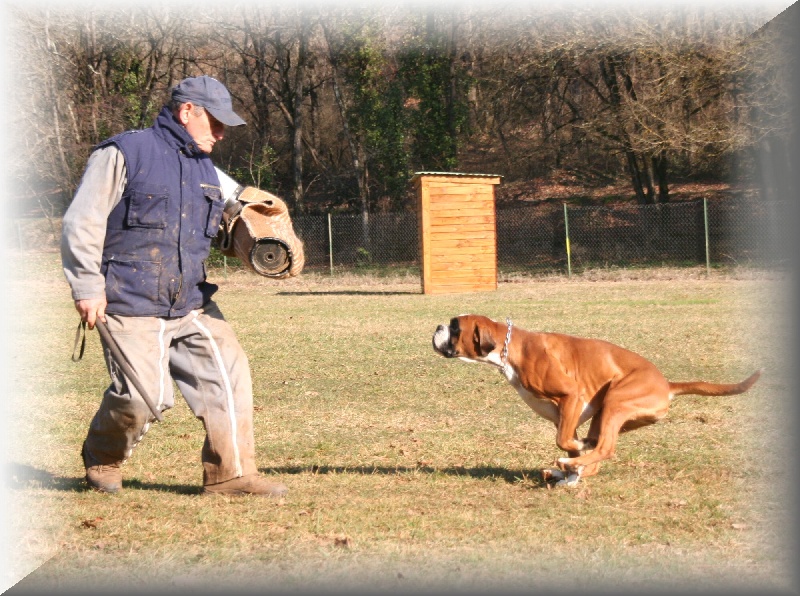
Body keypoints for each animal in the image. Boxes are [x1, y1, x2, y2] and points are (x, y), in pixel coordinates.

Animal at [434, 314, 760, 486]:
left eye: (455, 327)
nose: (437, 327)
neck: (512, 347)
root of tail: (666, 383)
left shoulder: (572, 396)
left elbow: (565, 441)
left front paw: (573, 457)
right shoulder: (564, 414)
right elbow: (568, 440)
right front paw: (572, 470)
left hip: (616, 399)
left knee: (605, 449)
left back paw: (570, 465)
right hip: (607, 413)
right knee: (598, 452)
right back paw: (567, 471)